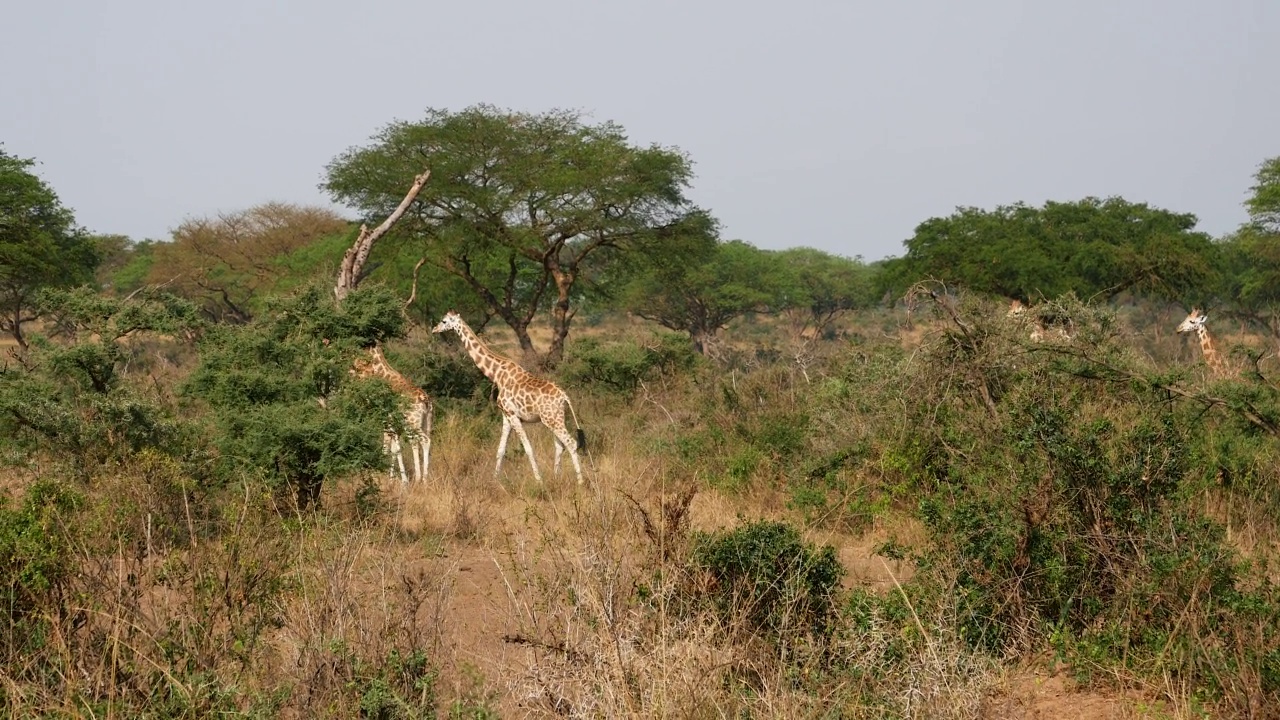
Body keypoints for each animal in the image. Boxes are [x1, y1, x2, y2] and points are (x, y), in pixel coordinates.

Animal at [350, 343, 435, 479]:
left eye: (358, 365)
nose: (351, 371)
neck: (384, 375)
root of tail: (426, 401)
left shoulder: (387, 421)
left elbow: (387, 448)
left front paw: (381, 477)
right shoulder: (396, 426)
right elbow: (395, 449)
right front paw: (394, 479)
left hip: (411, 423)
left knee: (420, 441)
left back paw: (419, 478)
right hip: (427, 423)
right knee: (425, 441)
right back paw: (425, 478)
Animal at [432, 308, 586, 481]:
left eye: (444, 321)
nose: (434, 329)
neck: (496, 374)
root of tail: (564, 397)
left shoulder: (512, 414)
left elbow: (528, 448)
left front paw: (539, 480)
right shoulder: (505, 415)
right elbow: (501, 450)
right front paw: (495, 480)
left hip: (550, 419)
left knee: (571, 443)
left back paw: (580, 482)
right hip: (556, 418)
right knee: (560, 445)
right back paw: (556, 477)